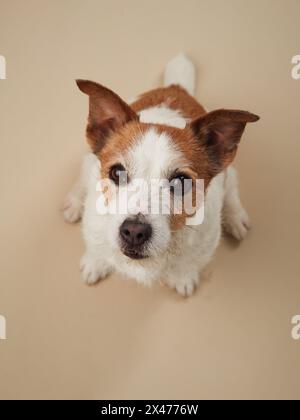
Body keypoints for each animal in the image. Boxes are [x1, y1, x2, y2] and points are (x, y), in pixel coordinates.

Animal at [62, 54, 258, 296]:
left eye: (181, 182)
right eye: (116, 172)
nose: (133, 231)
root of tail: (175, 88)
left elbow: (188, 264)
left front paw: (182, 277)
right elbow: (96, 248)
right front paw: (96, 262)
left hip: (227, 175)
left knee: (232, 186)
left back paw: (235, 215)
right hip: (89, 162)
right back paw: (74, 202)